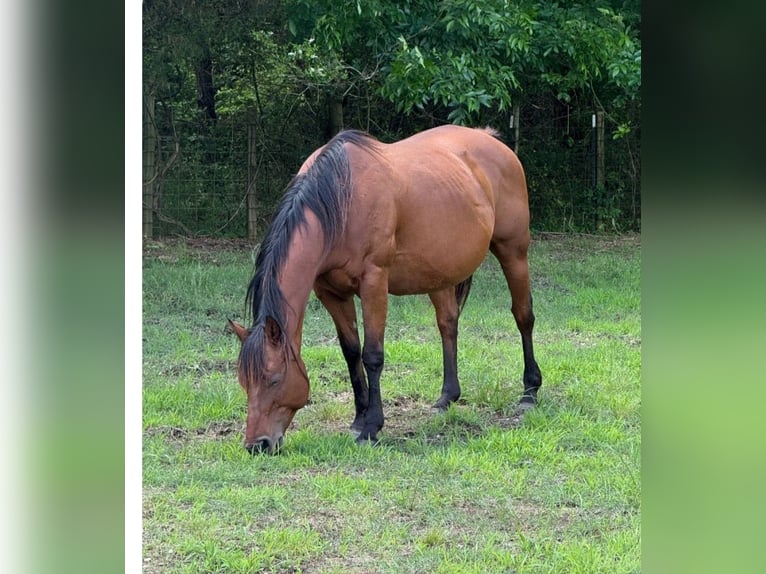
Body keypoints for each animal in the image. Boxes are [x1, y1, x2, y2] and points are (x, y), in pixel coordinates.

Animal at [228, 125, 542, 454]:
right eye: (244, 382)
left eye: (274, 379)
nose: (257, 445)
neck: (340, 198)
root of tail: (491, 139)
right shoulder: (331, 292)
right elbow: (351, 352)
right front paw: (359, 417)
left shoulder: (374, 282)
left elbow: (372, 355)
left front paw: (371, 427)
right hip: (438, 272)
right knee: (448, 324)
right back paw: (447, 397)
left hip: (513, 252)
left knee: (523, 316)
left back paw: (530, 391)